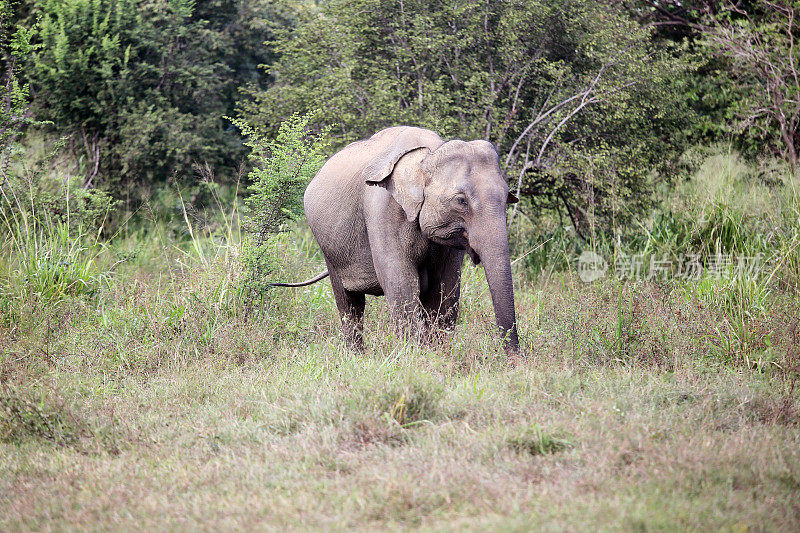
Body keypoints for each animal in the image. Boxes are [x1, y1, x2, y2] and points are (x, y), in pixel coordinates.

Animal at [276, 122, 520, 352]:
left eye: (507, 197)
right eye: (461, 201)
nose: (513, 358)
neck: (428, 154)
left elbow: (445, 288)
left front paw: (437, 354)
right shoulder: (382, 208)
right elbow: (401, 282)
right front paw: (415, 355)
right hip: (329, 248)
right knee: (349, 303)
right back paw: (355, 355)